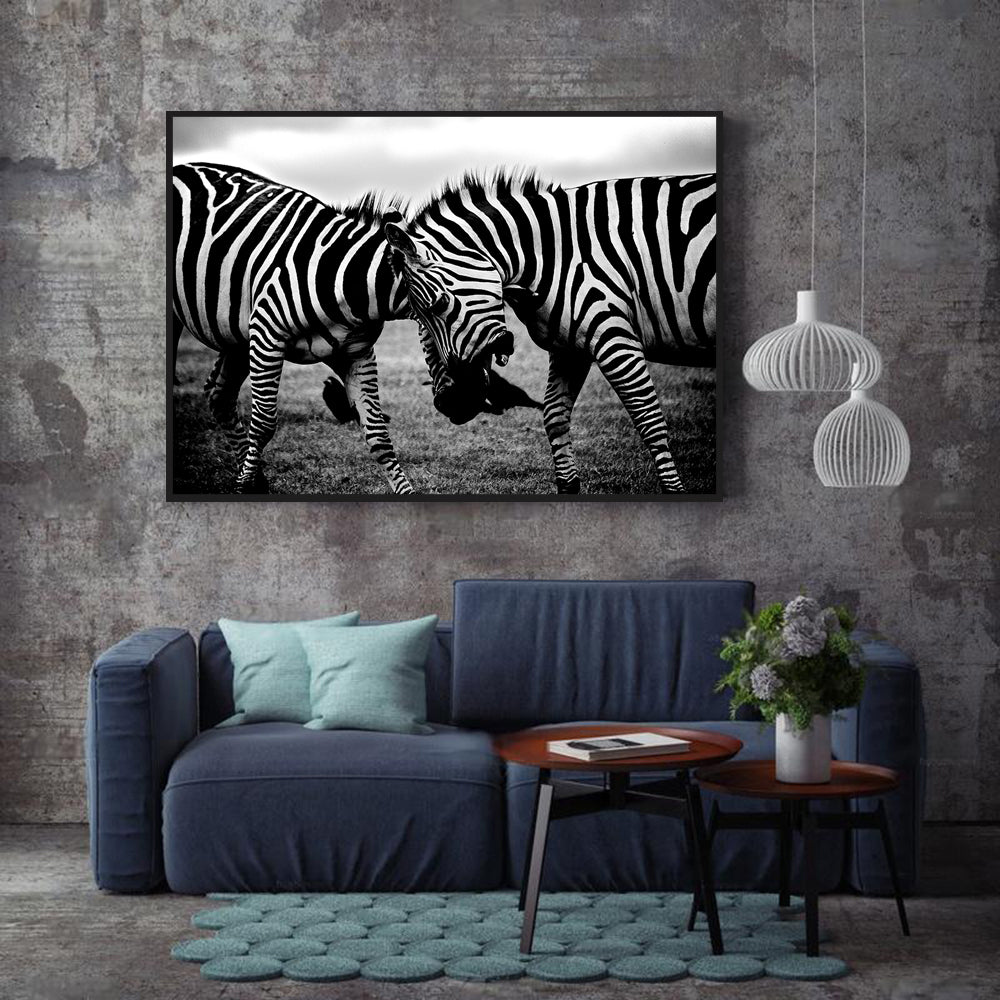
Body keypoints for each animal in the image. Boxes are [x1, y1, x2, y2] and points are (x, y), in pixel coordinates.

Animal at [172, 162, 529, 494]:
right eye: (438, 306)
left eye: (501, 297)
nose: (469, 403)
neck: (349, 284)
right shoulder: (266, 335)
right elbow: (262, 423)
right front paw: (243, 488)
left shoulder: (355, 353)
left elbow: (378, 435)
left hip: (236, 337)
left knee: (219, 396)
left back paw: (255, 477)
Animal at [383, 170, 716, 493]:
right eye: (417, 319)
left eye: (439, 304)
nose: (450, 403)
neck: (557, 256)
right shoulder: (570, 346)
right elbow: (554, 415)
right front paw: (568, 485)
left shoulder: (614, 337)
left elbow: (650, 421)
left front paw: (674, 490)